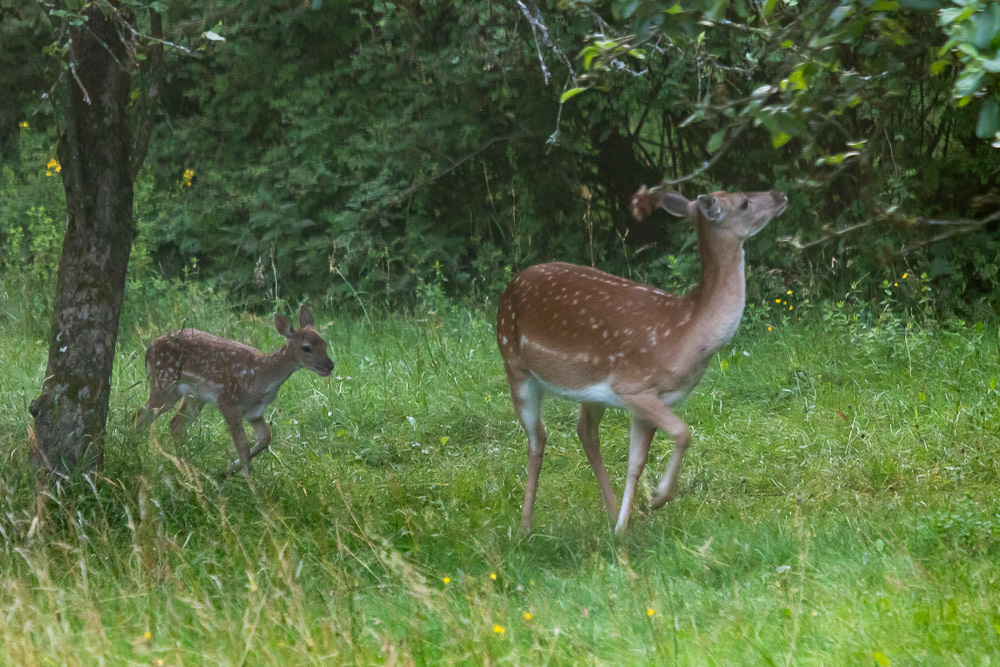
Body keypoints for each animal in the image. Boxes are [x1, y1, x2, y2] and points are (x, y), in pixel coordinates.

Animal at [136, 306, 336, 478]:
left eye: (324, 343)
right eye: (306, 348)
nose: (330, 365)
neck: (259, 378)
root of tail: (149, 348)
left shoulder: (254, 412)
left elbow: (265, 439)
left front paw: (228, 471)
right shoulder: (228, 403)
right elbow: (243, 446)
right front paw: (253, 487)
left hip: (194, 396)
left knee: (175, 425)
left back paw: (187, 468)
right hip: (164, 384)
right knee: (140, 416)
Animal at [496, 185, 784, 536]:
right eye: (743, 202)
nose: (780, 195)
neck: (685, 333)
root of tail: (511, 286)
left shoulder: (648, 402)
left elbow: (636, 462)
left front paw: (626, 524)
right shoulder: (634, 386)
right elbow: (684, 433)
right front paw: (657, 498)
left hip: (591, 391)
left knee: (585, 432)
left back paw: (610, 514)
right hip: (514, 363)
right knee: (538, 438)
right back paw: (525, 528)